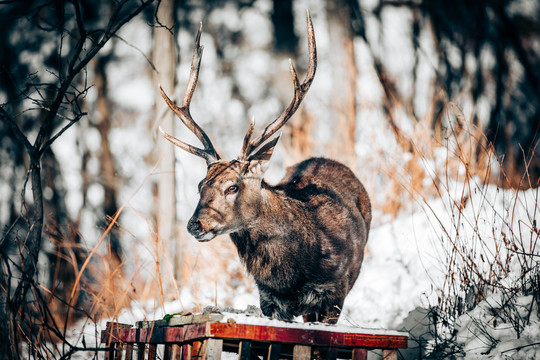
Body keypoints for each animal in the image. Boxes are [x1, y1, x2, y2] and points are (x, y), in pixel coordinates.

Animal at [160, 12, 372, 324]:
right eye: (200, 185)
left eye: (232, 186)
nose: (194, 224)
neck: (293, 273)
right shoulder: (269, 300)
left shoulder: (335, 293)